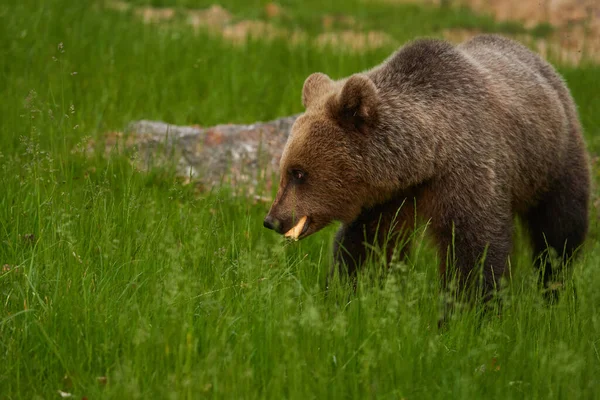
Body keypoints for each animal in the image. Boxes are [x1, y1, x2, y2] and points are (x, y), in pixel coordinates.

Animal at [264, 34, 592, 302]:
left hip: (554, 159)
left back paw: (552, 287)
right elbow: (368, 243)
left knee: (559, 228)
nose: (272, 220)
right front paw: (348, 290)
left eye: (298, 172)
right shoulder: (387, 197)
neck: (426, 158)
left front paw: (467, 311)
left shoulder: (468, 172)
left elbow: (474, 249)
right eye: (285, 169)